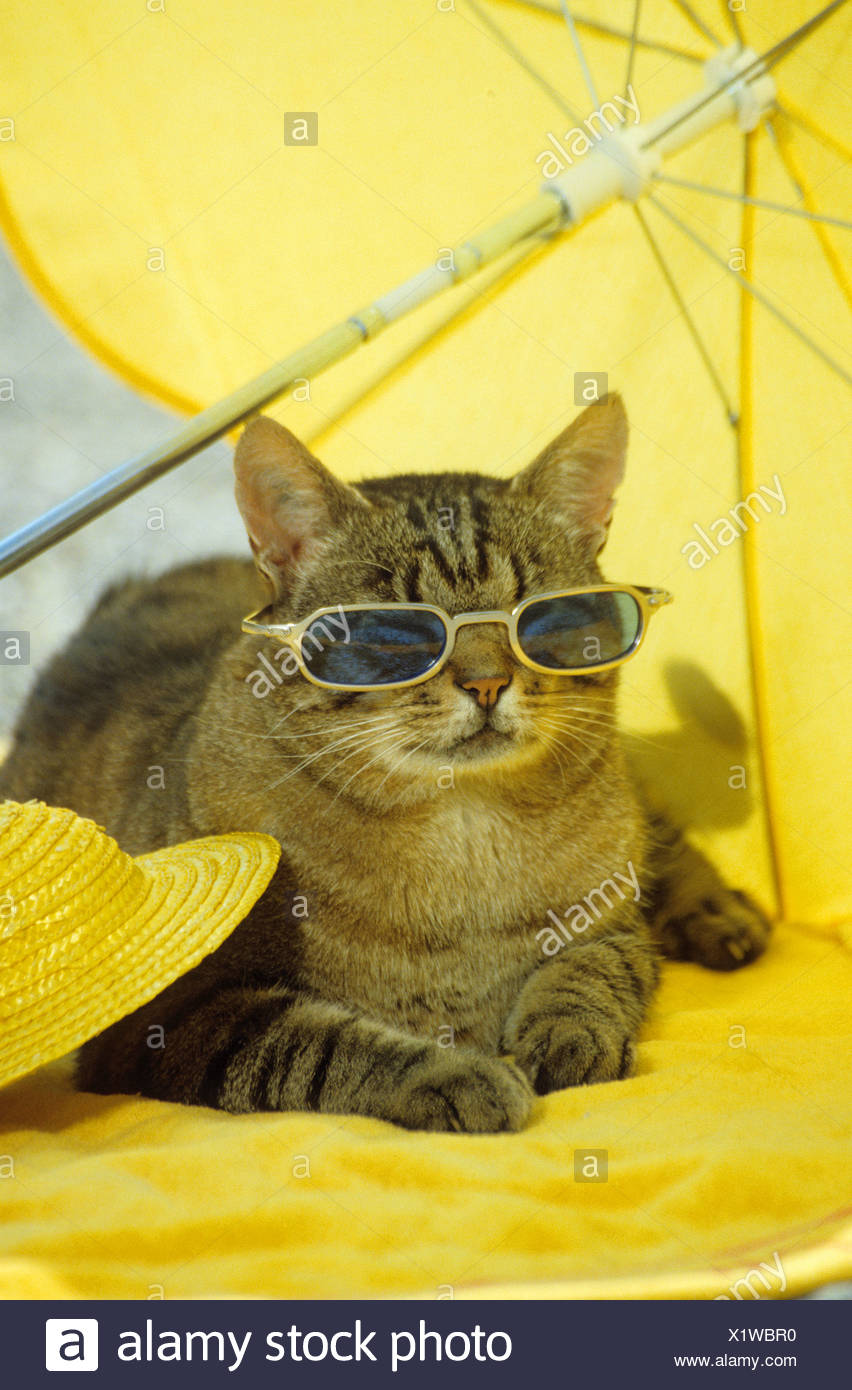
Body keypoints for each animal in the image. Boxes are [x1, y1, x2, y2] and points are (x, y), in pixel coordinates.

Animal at [0, 394, 767, 1128]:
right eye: (396, 632)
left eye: (541, 618)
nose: (487, 682)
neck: (465, 843)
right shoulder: (165, 1020)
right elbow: (319, 1044)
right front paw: (454, 1074)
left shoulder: (613, 927)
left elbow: (592, 971)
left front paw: (567, 1034)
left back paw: (722, 915)